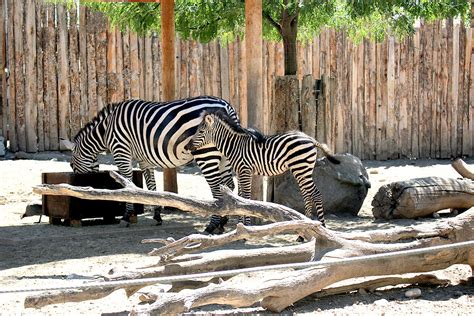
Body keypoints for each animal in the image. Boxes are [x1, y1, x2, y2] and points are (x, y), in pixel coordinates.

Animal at [62, 96, 239, 232]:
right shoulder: (144, 160)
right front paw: (157, 215)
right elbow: (151, 186)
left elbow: (128, 184)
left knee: (216, 189)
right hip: (225, 154)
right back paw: (222, 223)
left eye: (71, 165)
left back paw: (212, 225)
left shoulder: (121, 151)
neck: (106, 131)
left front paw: (126, 217)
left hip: (206, 153)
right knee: (228, 185)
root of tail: (226, 105)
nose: (76, 186)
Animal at [185, 110, 340, 227]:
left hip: (302, 168)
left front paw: (246, 226)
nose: (187, 147)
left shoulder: (245, 171)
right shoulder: (240, 172)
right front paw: (240, 225)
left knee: (315, 194)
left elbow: (246, 197)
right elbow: (240, 197)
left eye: (201, 131)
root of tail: (310, 139)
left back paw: (322, 227)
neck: (234, 146)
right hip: (301, 170)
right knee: (308, 195)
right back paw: (303, 232)